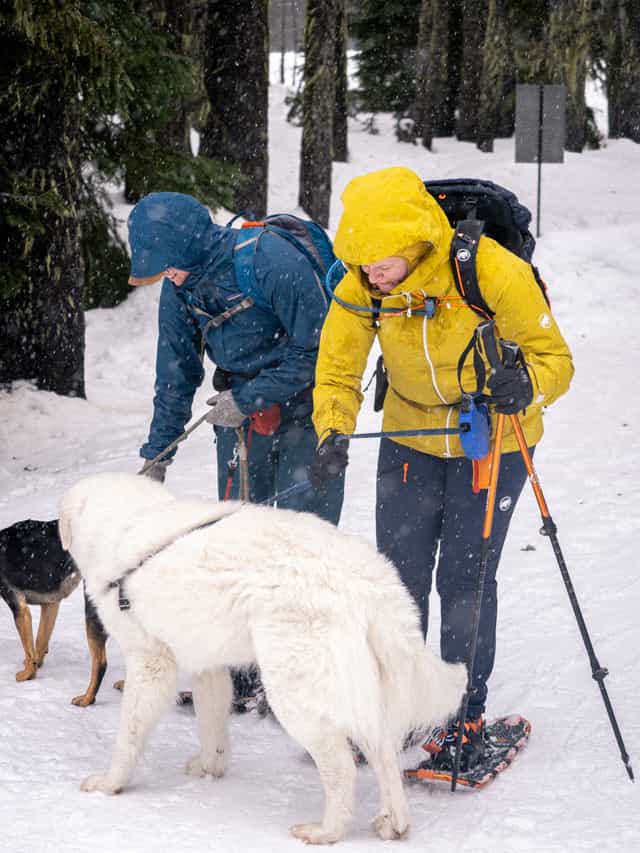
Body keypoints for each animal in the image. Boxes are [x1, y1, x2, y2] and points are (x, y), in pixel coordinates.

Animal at [0, 520, 107, 704]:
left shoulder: (19, 608)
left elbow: (30, 650)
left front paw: (27, 674)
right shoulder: (50, 604)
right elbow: (39, 643)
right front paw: (35, 668)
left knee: (101, 662)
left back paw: (87, 699)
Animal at [58, 476, 464, 844]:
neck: (126, 523)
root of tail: (366, 579)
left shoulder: (151, 663)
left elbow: (128, 734)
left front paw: (110, 784)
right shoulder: (208, 666)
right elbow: (211, 723)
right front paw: (210, 767)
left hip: (294, 690)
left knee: (342, 766)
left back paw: (325, 831)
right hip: (355, 686)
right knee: (383, 750)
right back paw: (394, 823)